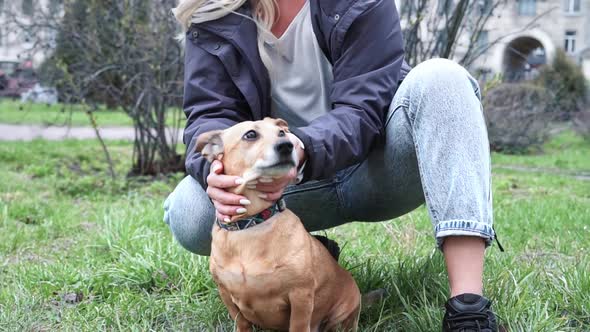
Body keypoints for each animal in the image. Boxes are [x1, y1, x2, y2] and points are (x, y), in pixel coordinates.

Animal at [198, 118, 360, 330]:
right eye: (250, 134)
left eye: (282, 133)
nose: (287, 145)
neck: (252, 222)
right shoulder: (226, 294)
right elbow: (241, 322)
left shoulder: (301, 295)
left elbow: (298, 326)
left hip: (343, 311)